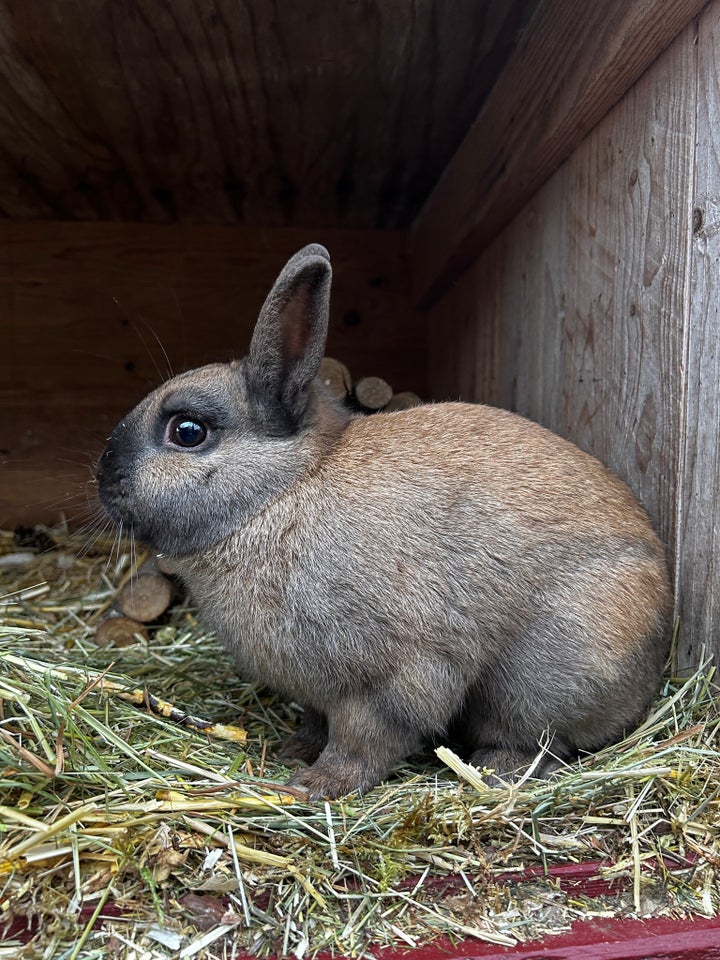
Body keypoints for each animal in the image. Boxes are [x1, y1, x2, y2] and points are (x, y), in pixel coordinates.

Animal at [97, 244, 676, 800]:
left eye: (188, 431)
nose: (103, 477)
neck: (282, 492)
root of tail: (654, 656)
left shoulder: (386, 681)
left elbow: (364, 740)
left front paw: (315, 786)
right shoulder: (321, 694)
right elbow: (318, 725)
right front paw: (294, 752)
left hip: (543, 677)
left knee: (540, 739)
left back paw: (496, 771)